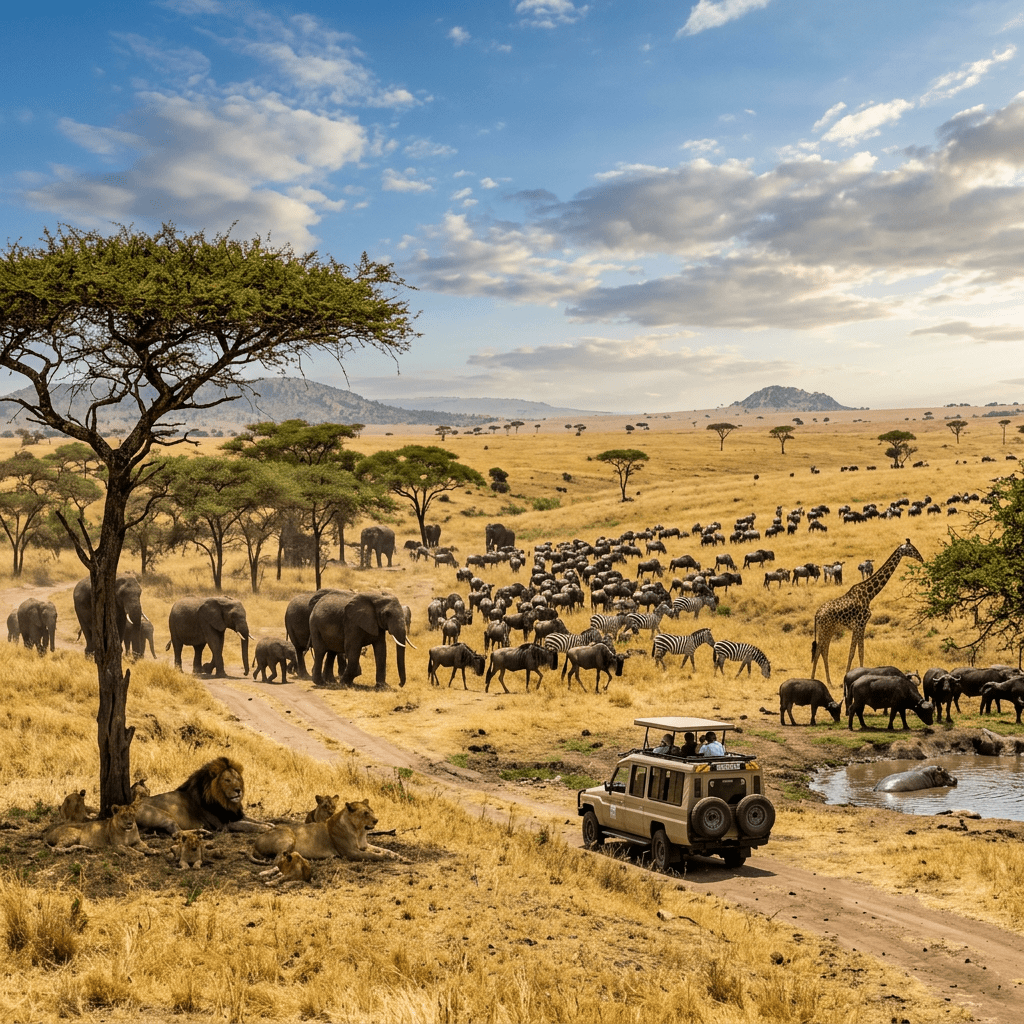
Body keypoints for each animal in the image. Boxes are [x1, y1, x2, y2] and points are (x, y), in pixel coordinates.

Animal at [134, 756, 268, 835]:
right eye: (227, 780)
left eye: (238, 779)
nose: (238, 790)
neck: (225, 802)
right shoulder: (223, 825)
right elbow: (248, 825)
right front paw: (266, 828)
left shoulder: (234, 815)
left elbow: (253, 820)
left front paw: (268, 824)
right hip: (162, 814)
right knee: (177, 832)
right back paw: (201, 832)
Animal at [250, 799, 407, 864]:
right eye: (365, 813)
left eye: (372, 811)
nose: (376, 820)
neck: (359, 832)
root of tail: (255, 842)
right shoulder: (350, 853)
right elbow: (372, 855)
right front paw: (386, 857)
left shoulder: (364, 845)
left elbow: (385, 849)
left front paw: (400, 857)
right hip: (288, 836)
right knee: (277, 860)